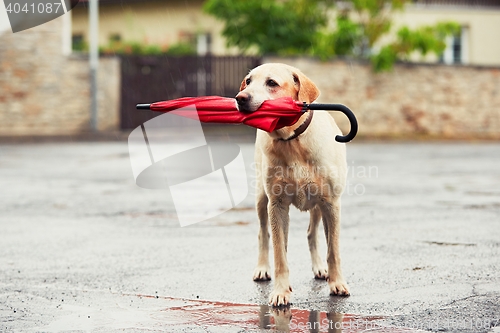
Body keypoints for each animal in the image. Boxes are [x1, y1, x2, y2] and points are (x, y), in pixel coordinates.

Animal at [236, 63, 350, 306]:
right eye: (248, 81)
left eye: (271, 83)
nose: (240, 98)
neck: (292, 141)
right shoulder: (277, 205)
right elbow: (280, 253)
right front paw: (281, 291)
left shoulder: (331, 203)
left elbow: (333, 249)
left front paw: (336, 283)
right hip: (262, 199)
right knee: (265, 234)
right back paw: (263, 268)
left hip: (317, 206)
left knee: (311, 233)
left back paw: (319, 268)